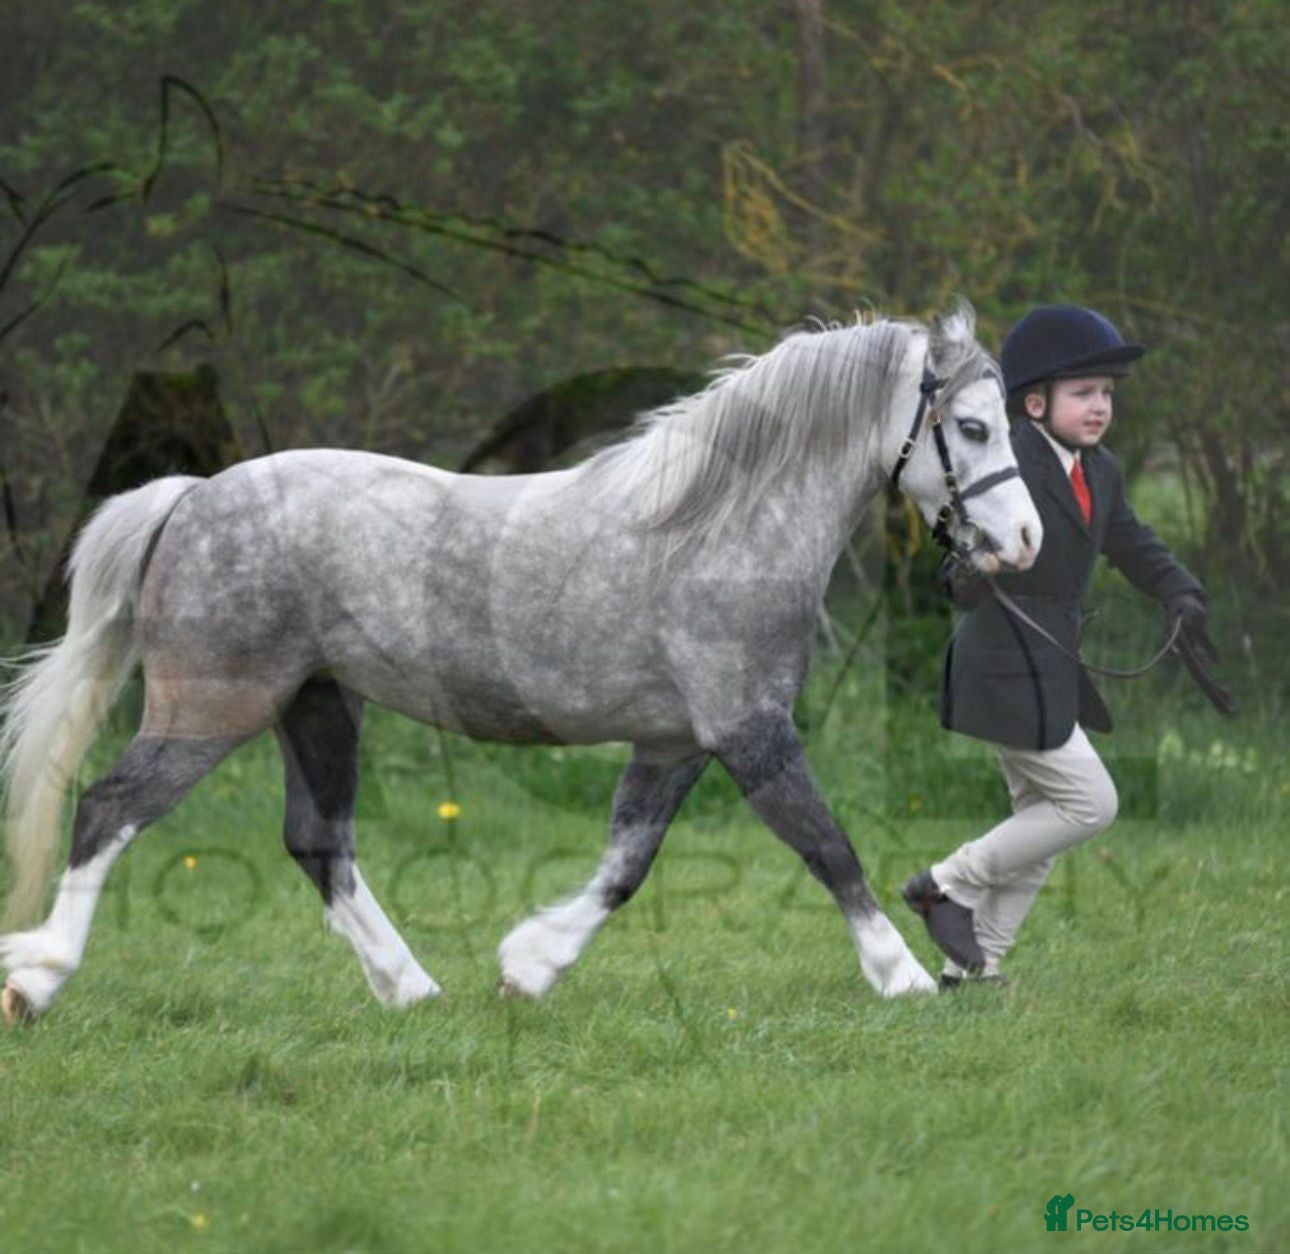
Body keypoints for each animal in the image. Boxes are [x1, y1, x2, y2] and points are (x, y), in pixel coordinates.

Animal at [0, 301, 1041, 1025]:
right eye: (974, 428)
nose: (1027, 540)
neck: (717, 531)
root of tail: (191, 497)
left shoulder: (675, 741)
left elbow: (626, 865)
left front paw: (528, 967)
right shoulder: (749, 730)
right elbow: (828, 848)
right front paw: (904, 977)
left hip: (318, 705)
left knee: (317, 842)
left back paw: (412, 989)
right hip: (214, 705)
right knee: (109, 810)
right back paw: (37, 978)